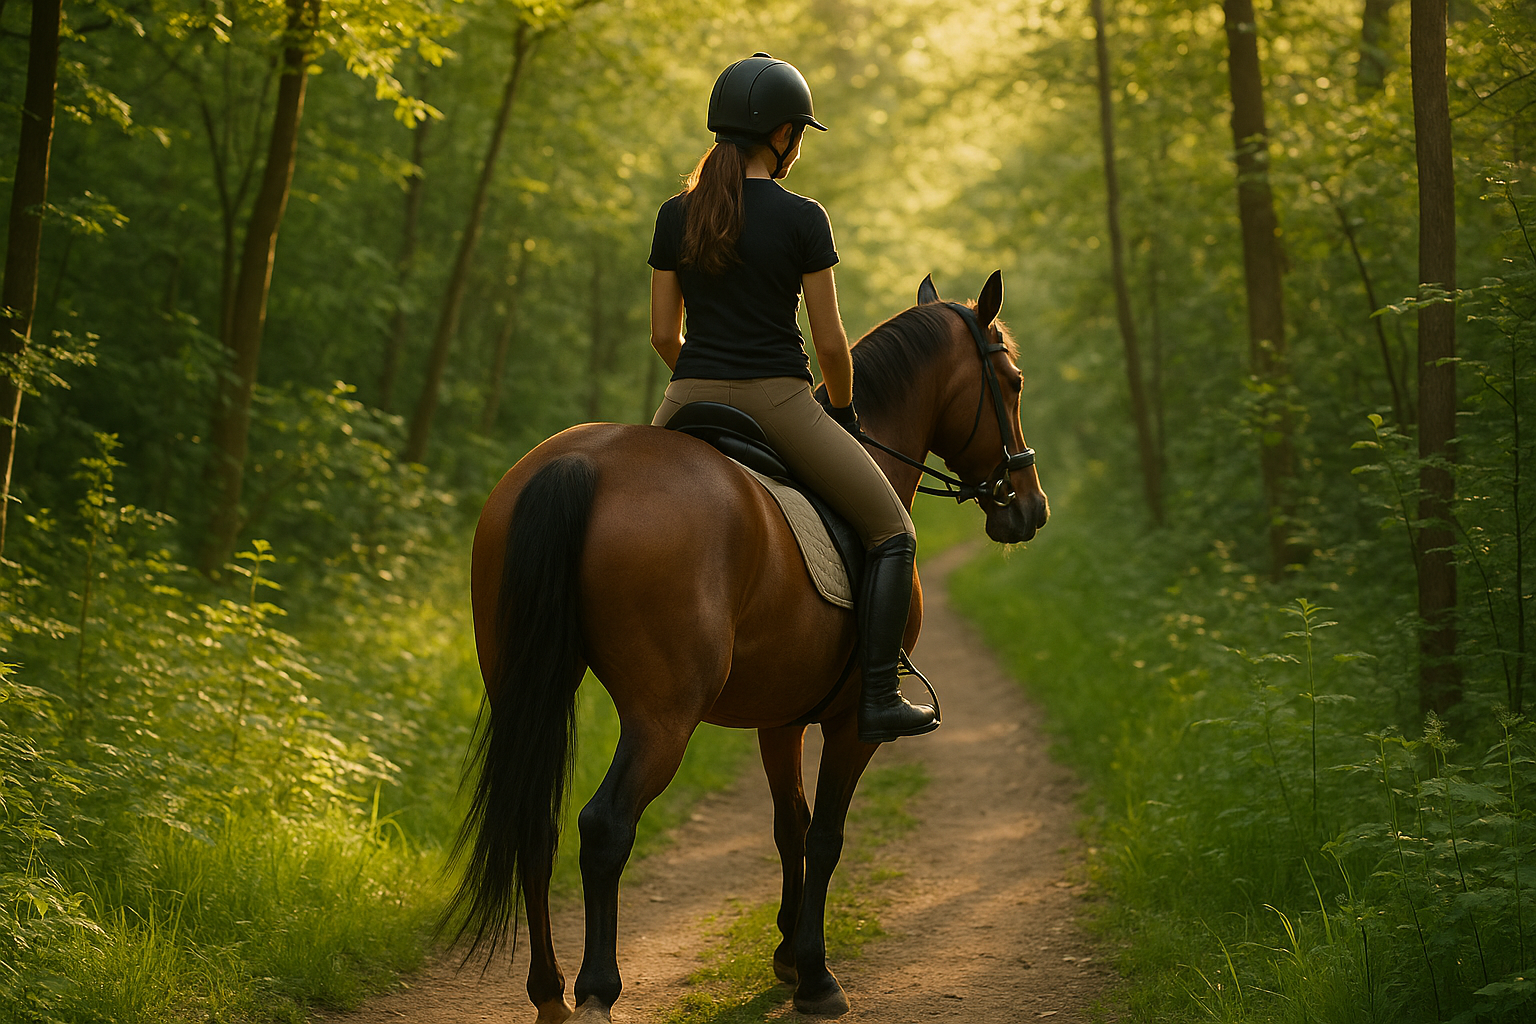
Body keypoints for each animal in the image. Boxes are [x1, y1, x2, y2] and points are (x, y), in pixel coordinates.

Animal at [450, 271, 1048, 1022]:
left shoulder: (780, 716)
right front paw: (816, 975)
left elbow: (789, 824)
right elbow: (826, 834)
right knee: (605, 825)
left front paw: (788, 957)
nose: (1029, 506)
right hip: (663, 716)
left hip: (522, 684)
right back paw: (595, 990)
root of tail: (581, 463)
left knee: (536, 820)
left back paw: (548, 992)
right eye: (1014, 381)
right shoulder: (852, 723)